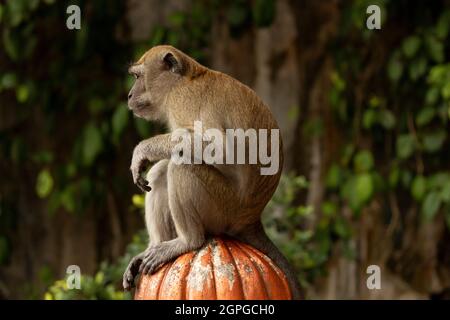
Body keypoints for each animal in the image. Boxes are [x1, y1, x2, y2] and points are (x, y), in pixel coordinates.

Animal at [122, 45, 302, 300]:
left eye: (138, 77)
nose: (129, 95)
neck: (185, 79)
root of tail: (251, 219)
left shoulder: (182, 101)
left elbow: (221, 149)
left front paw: (143, 149)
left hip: (223, 208)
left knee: (181, 165)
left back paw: (188, 241)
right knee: (162, 170)